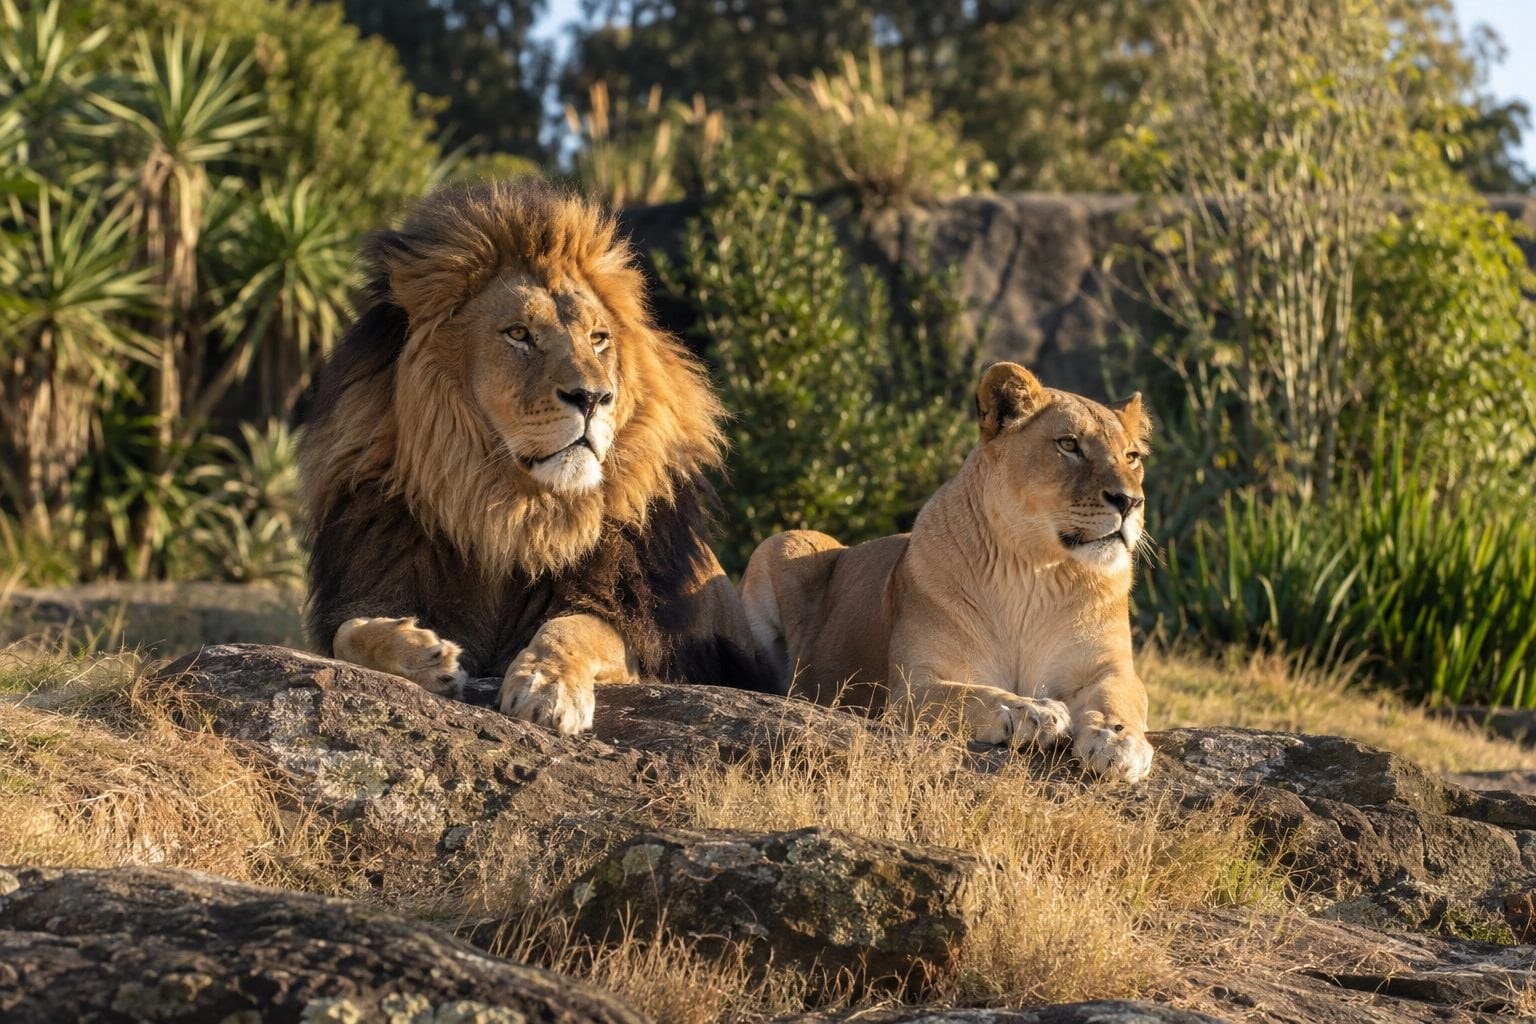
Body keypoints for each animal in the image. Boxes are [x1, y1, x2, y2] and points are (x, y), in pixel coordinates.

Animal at [300, 180, 780, 732]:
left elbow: (575, 626)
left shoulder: (645, 631)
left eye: (598, 338)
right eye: (519, 334)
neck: (513, 513)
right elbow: (349, 633)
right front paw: (420, 654)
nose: (593, 397)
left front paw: (547, 686)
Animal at [740, 362, 1155, 781]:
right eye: (1068, 445)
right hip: (785, 542)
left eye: (1132, 456)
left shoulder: (1110, 667)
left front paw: (1118, 741)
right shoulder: (913, 688)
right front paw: (1033, 711)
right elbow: (970, 695)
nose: (1129, 501)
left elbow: (1119, 698)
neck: (1033, 570)